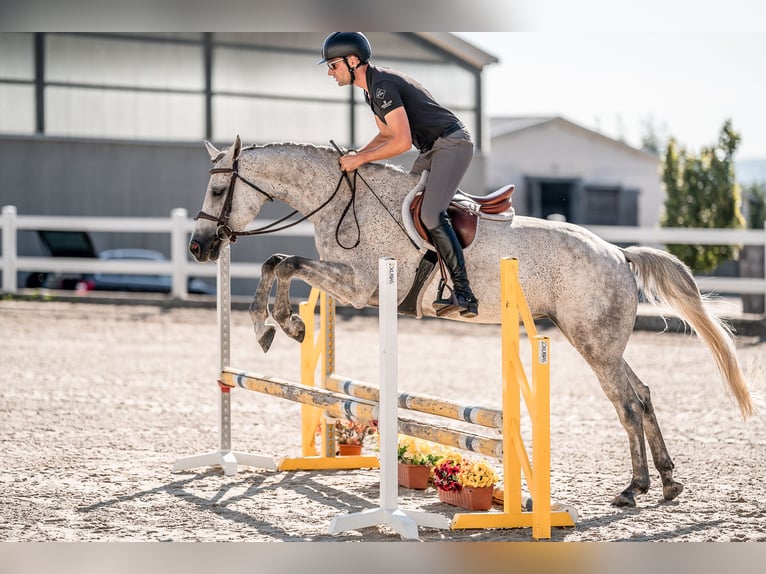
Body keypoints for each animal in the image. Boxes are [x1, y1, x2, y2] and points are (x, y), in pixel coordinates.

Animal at [190, 137, 756, 510]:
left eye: (217, 193)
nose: (199, 247)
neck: (346, 201)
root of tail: (619, 253)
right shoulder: (348, 285)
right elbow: (277, 263)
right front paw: (271, 325)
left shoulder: (359, 286)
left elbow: (283, 262)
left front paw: (280, 325)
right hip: (600, 344)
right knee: (642, 395)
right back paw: (664, 483)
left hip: (593, 344)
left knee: (627, 404)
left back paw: (633, 489)